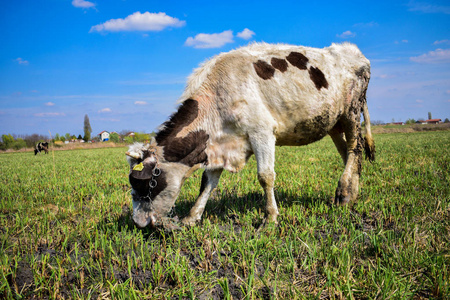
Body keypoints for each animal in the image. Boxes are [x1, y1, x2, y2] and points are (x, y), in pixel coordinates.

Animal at [125, 42, 376, 229]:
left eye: (143, 183)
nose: (138, 223)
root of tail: (353, 51)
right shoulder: (218, 144)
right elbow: (208, 182)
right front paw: (191, 218)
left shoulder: (261, 132)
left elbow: (265, 176)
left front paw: (270, 218)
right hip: (333, 122)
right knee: (349, 154)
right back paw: (352, 191)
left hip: (351, 112)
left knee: (355, 149)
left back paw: (345, 194)